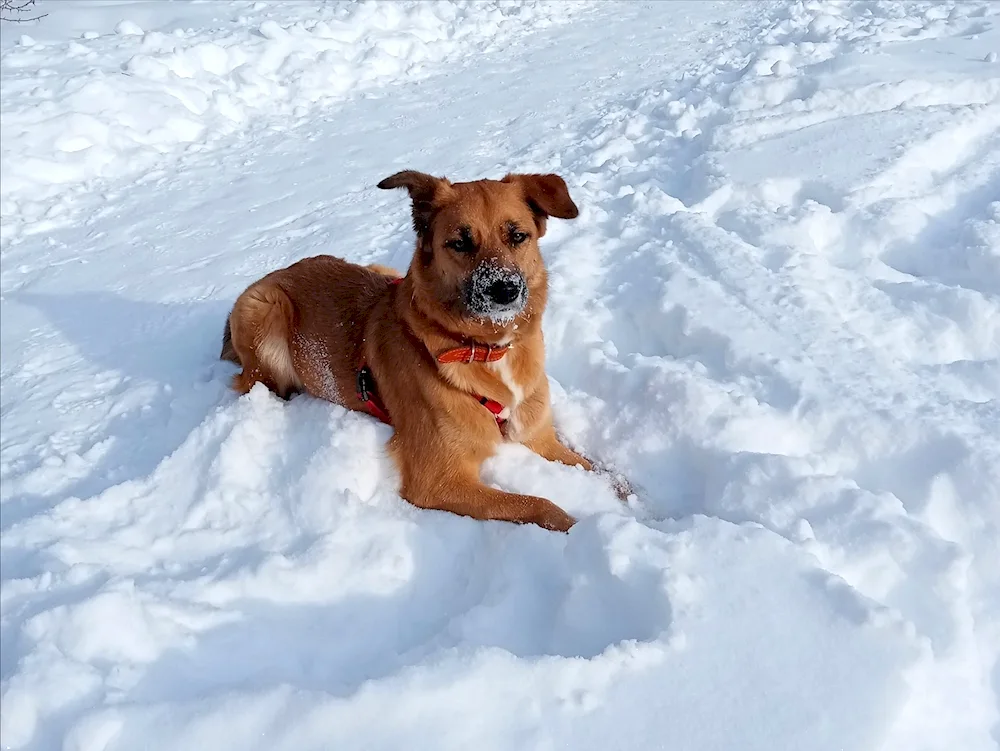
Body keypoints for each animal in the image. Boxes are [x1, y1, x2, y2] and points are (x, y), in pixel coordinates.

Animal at [222, 172, 596, 536]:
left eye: (518, 236)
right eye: (460, 243)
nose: (504, 290)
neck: (487, 349)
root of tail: (278, 272)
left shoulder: (540, 438)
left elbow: (596, 469)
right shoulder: (438, 481)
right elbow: (539, 505)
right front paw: (583, 528)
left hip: (381, 271)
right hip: (266, 310)